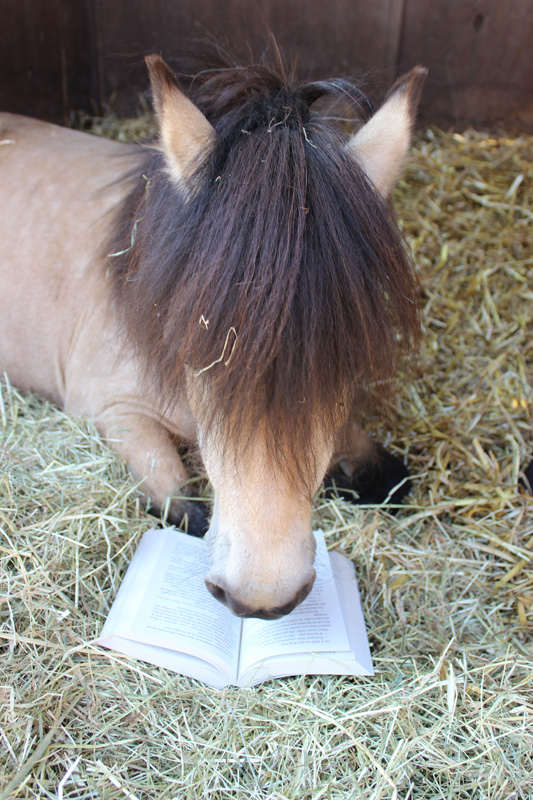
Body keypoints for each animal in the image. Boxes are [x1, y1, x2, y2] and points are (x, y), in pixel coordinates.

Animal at [0, 54, 426, 620]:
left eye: (349, 355)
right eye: (200, 347)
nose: (263, 596)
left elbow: (388, 474)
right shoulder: (112, 410)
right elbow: (187, 511)